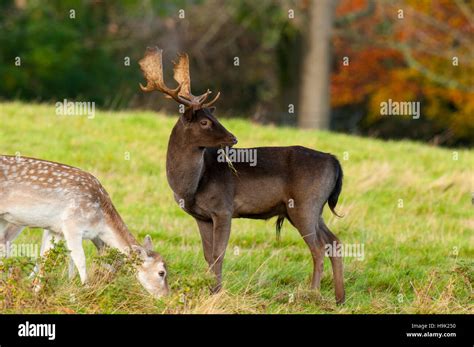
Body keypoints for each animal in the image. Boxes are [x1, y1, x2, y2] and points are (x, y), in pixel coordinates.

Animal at [0, 156, 169, 298]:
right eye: (161, 273)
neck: (101, 222)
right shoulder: (71, 224)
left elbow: (45, 258)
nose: (166, 296)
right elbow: (80, 259)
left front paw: (35, 292)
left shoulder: (55, 229)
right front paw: (86, 291)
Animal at [139, 47, 346, 304]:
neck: (192, 185)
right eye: (205, 121)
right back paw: (339, 298)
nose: (233, 138)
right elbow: (208, 254)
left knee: (318, 248)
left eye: (214, 117)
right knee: (334, 242)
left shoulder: (223, 208)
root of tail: (334, 161)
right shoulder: (202, 216)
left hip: (305, 203)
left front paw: (216, 292)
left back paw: (312, 294)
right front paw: (210, 290)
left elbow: (218, 254)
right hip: (313, 208)